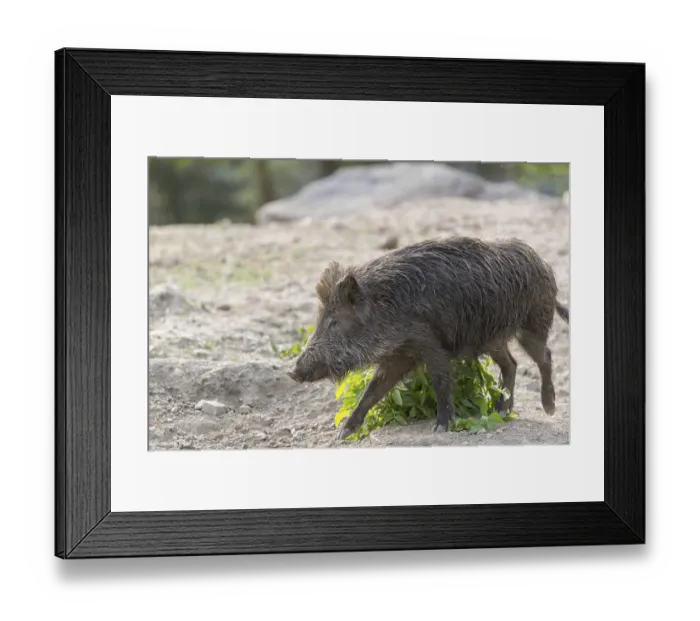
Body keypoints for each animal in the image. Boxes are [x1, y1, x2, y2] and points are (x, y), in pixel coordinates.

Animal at [287, 236, 569, 441]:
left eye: (334, 322)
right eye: (320, 319)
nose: (293, 372)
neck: (386, 310)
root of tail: (545, 265)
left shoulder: (430, 346)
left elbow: (441, 382)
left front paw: (441, 428)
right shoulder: (398, 356)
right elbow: (372, 391)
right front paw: (343, 434)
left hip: (533, 324)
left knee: (544, 356)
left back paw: (549, 408)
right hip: (492, 339)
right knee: (511, 364)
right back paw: (502, 410)